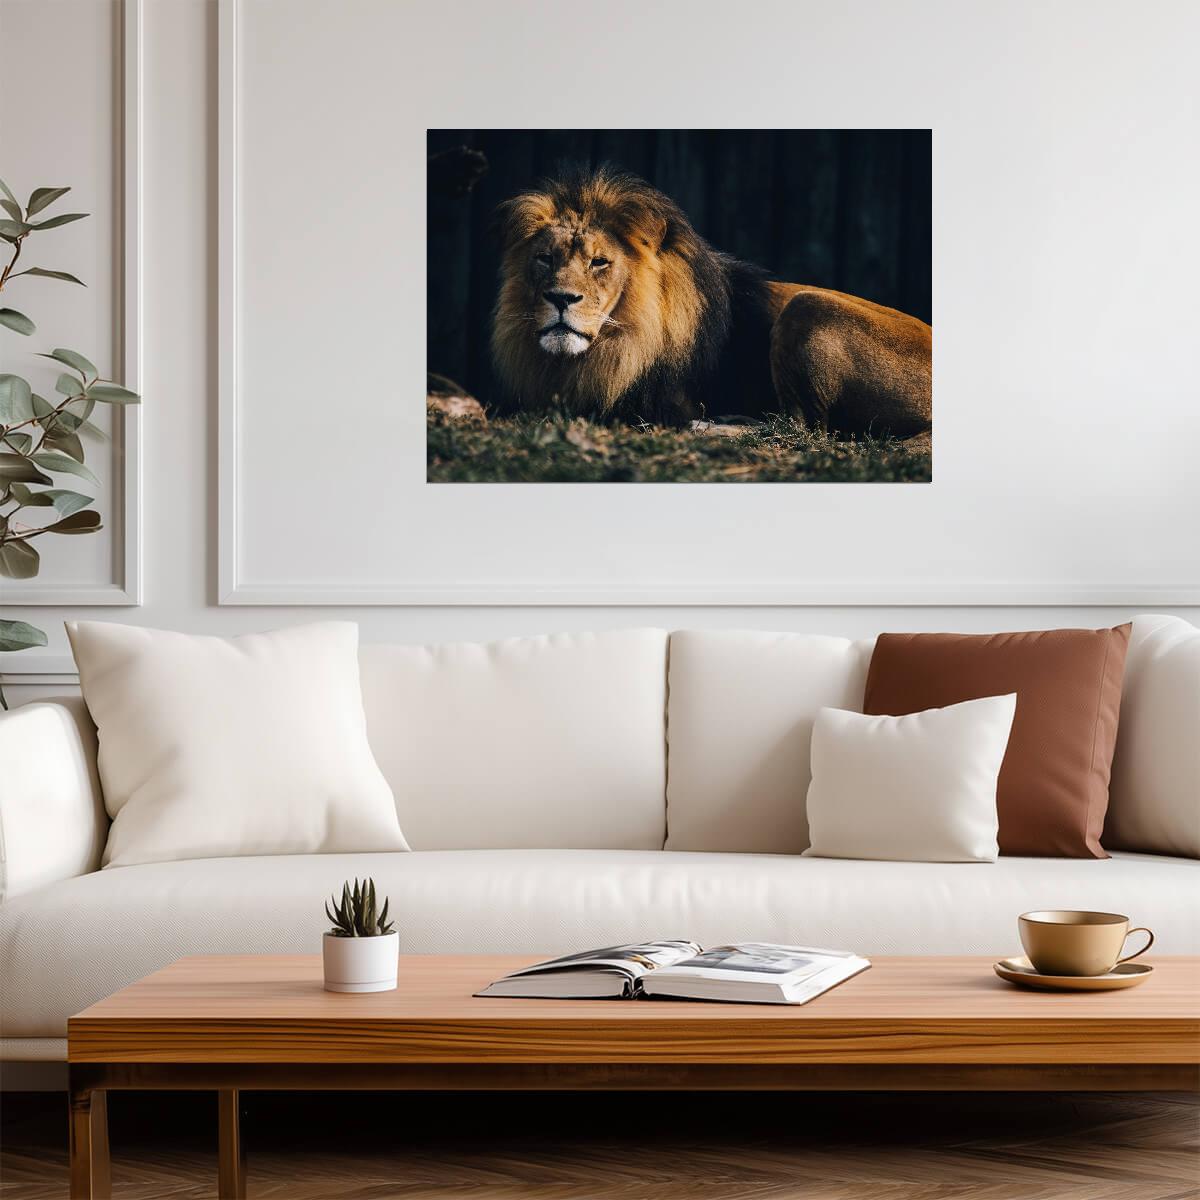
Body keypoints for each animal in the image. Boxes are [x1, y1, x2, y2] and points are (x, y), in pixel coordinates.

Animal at [490, 167, 931, 437]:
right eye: (545, 258)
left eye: (599, 262)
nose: (560, 298)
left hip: (808, 305)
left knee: (801, 428)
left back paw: (709, 427)